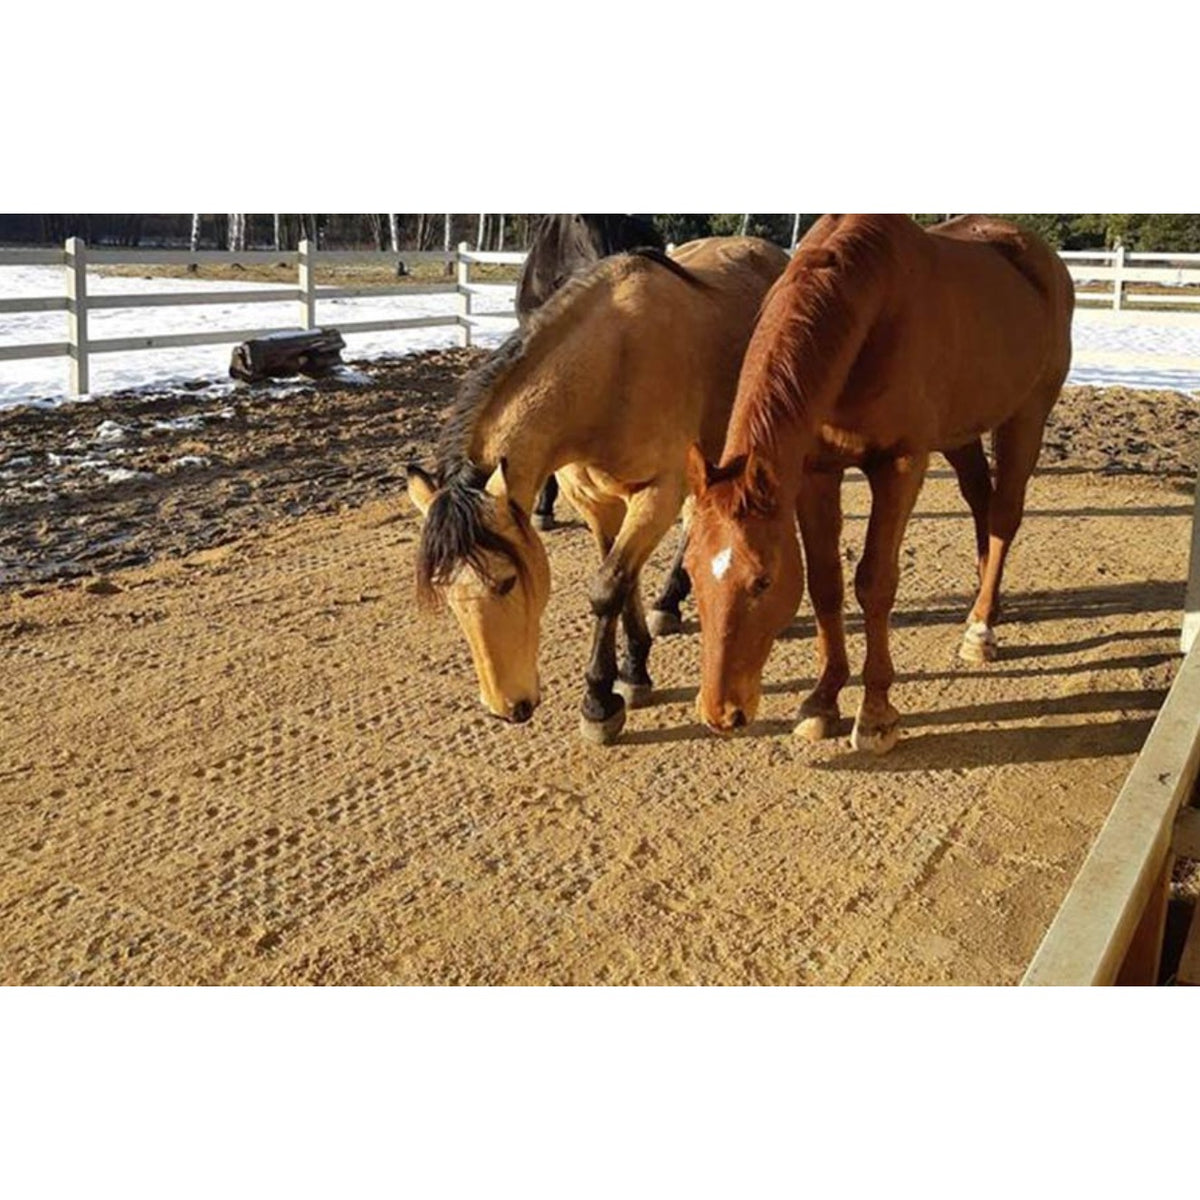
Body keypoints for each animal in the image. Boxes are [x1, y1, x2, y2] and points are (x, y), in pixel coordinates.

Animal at [685, 214, 1074, 753]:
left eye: (762, 580)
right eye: (689, 572)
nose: (721, 714)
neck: (867, 313)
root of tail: (1045, 261)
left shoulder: (900, 466)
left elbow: (875, 582)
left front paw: (875, 714)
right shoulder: (814, 473)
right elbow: (826, 583)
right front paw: (822, 700)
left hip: (1026, 418)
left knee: (1003, 516)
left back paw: (981, 630)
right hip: (961, 434)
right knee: (981, 500)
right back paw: (986, 605)